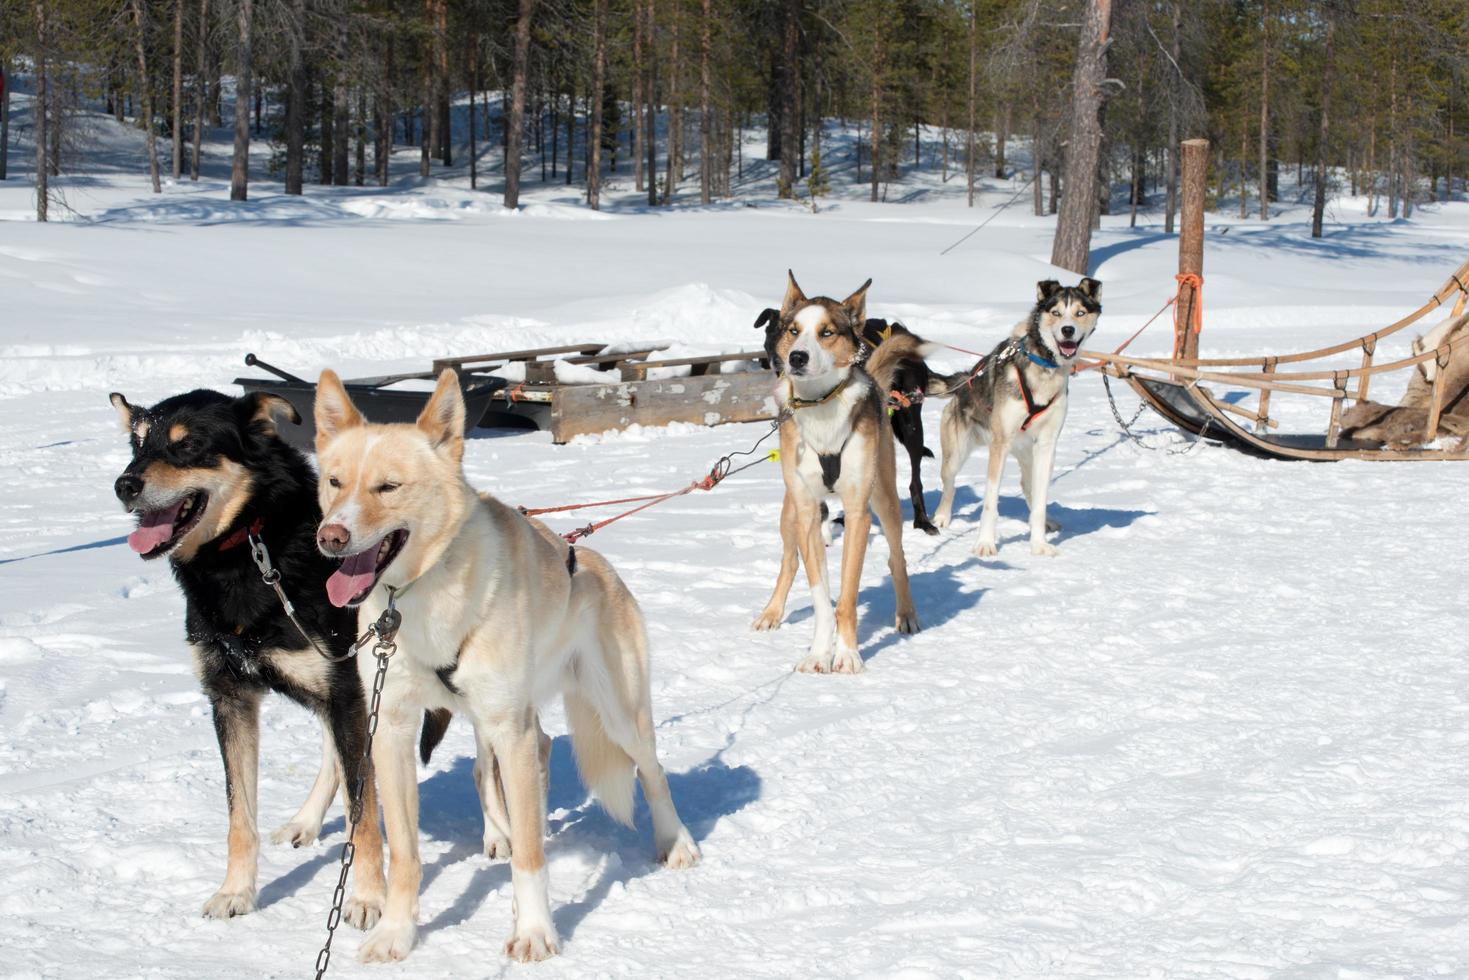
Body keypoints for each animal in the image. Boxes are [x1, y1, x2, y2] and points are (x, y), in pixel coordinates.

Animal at [108, 384, 384, 928]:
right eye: (138, 445)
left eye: (188, 445)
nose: (124, 484)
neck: (255, 548)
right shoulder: (230, 697)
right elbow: (240, 817)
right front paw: (235, 892)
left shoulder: (345, 691)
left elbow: (364, 814)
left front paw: (366, 898)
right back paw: (303, 822)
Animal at [311, 370, 699, 963]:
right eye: (334, 482)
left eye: (388, 487)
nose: (330, 536)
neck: (423, 595)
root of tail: (595, 561)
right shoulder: (393, 730)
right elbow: (405, 853)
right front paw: (397, 932)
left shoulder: (507, 729)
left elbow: (532, 860)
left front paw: (535, 932)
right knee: (517, 762)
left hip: (617, 713)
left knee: (649, 772)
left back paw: (675, 842)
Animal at [928, 276, 1104, 558]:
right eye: (1056, 313)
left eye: (1080, 313)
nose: (1068, 330)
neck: (1043, 366)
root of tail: (965, 378)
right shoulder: (999, 445)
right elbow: (990, 501)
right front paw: (985, 543)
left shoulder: (1047, 445)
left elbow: (1040, 499)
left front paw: (1039, 544)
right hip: (956, 453)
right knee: (950, 484)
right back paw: (943, 517)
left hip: (1031, 455)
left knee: (1028, 485)